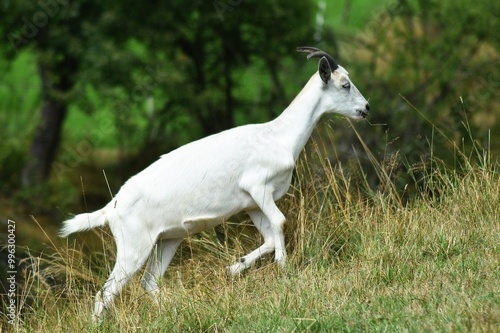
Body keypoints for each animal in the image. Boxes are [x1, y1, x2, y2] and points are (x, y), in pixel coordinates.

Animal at [60, 46, 370, 320]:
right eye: (344, 84)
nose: (366, 108)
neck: (278, 136)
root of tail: (111, 208)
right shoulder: (258, 186)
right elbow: (281, 222)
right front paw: (283, 267)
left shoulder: (253, 203)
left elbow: (270, 236)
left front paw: (233, 268)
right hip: (133, 248)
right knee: (105, 293)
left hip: (167, 240)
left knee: (149, 282)